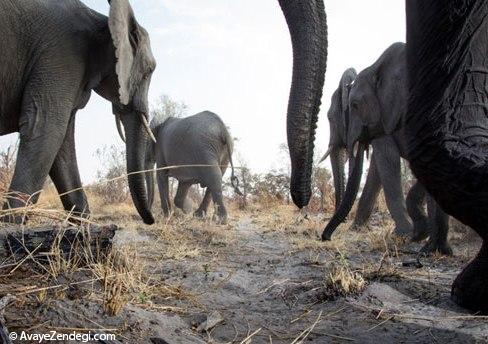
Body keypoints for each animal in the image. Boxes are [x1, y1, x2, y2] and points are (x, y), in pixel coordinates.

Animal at [0, 0, 155, 223]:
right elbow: (48, 130)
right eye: (149, 71)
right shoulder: (61, 58)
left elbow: (63, 146)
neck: (104, 22)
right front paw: (12, 224)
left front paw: (84, 226)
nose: (151, 219)